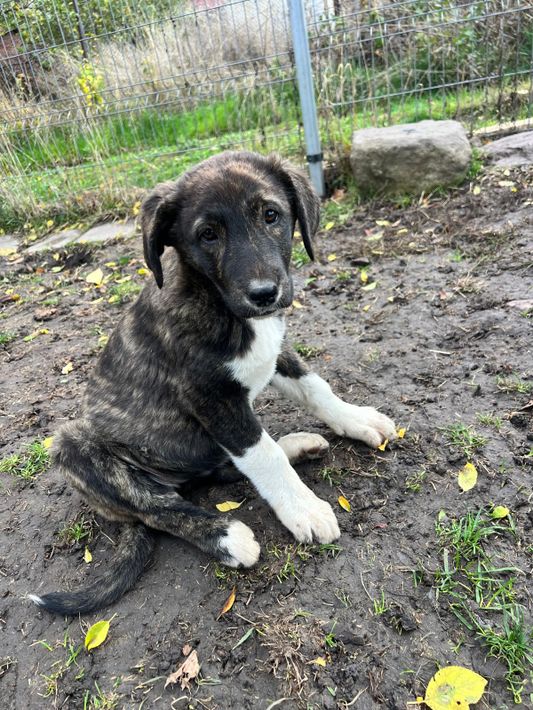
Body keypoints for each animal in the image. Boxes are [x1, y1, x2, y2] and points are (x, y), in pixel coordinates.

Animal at [29, 151, 396, 615]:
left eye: (271, 215)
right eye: (207, 235)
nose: (264, 293)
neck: (221, 305)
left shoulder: (276, 353)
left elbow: (315, 388)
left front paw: (357, 419)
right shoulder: (211, 398)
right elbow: (261, 454)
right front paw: (302, 509)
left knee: (218, 470)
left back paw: (297, 445)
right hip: (72, 446)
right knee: (159, 509)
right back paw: (225, 536)